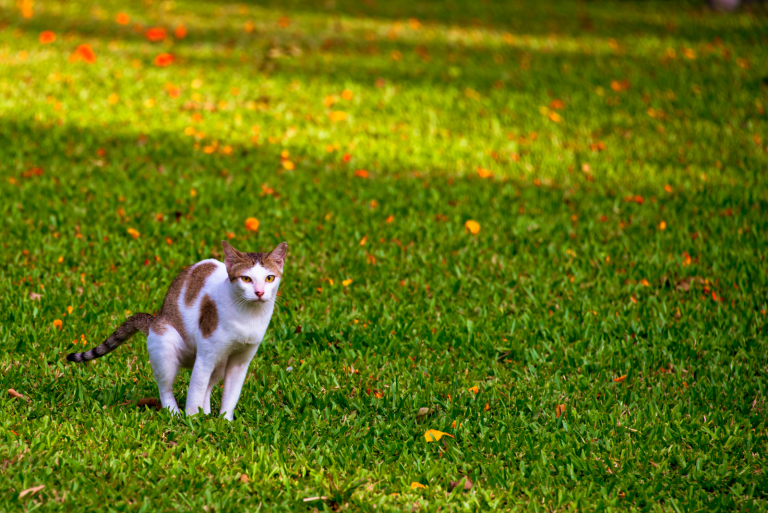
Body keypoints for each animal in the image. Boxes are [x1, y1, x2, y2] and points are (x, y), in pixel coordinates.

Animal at [66, 240, 286, 420]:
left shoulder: (241, 361)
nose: (259, 292)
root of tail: (155, 319)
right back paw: (175, 413)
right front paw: (193, 421)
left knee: (208, 385)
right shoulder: (206, 354)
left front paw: (224, 421)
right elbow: (196, 388)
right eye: (246, 279)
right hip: (166, 344)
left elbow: (230, 395)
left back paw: (206, 413)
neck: (249, 316)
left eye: (269, 278)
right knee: (166, 387)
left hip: (219, 362)